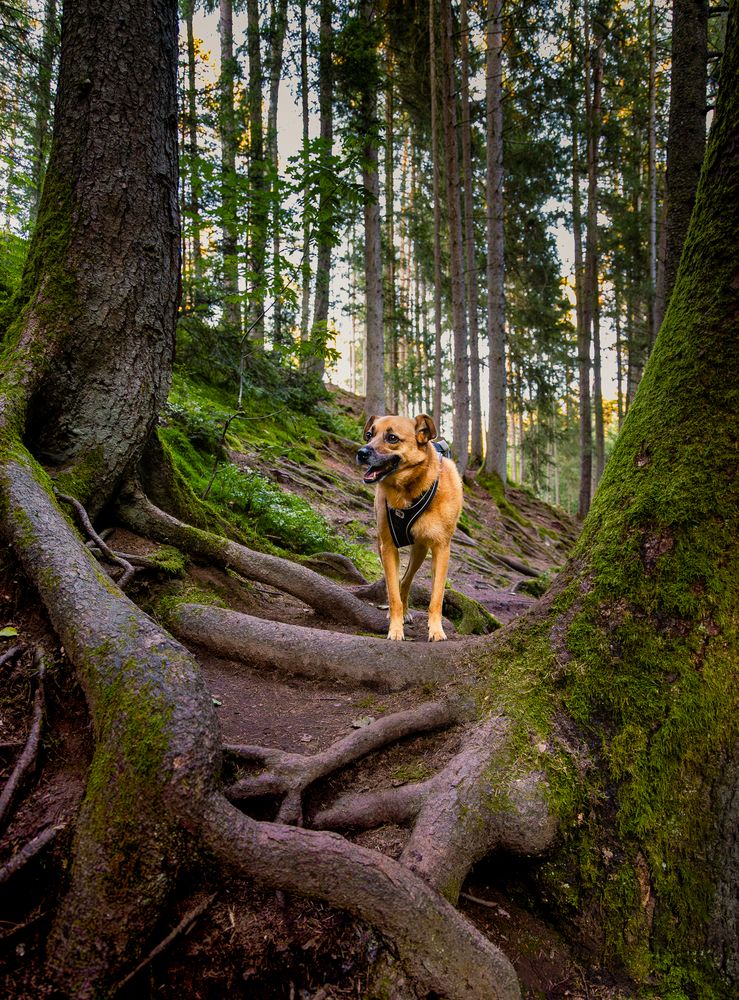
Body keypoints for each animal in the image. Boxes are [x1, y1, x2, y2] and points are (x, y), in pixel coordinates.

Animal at [356, 412, 462, 640]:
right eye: (369, 435)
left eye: (392, 438)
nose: (361, 453)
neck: (408, 492)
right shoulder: (388, 547)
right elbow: (393, 594)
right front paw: (395, 629)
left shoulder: (441, 549)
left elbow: (436, 597)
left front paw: (436, 630)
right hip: (383, 547)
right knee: (398, 584)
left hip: (420, 550)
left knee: (406, 581)